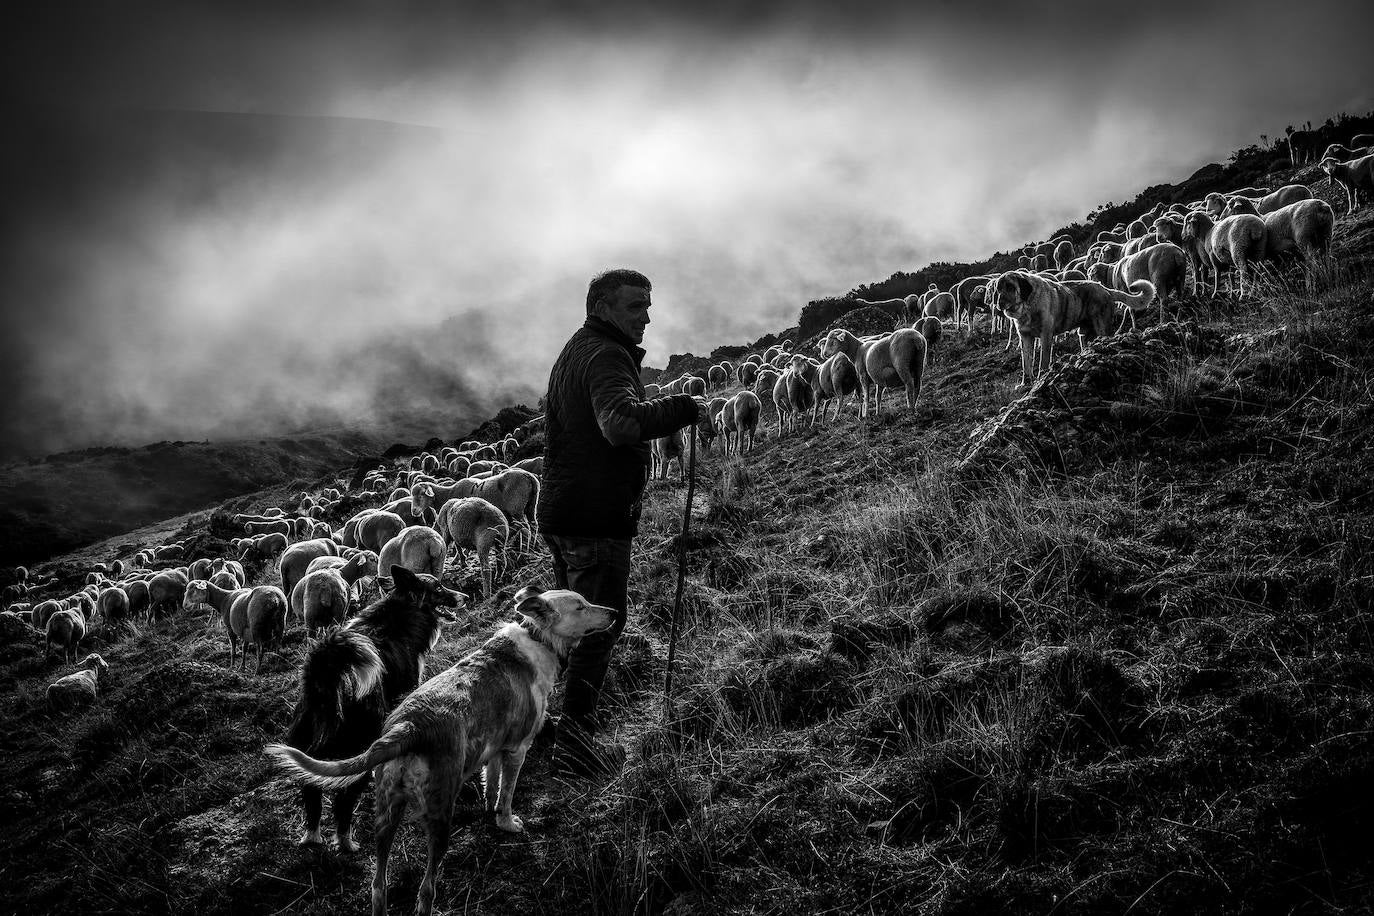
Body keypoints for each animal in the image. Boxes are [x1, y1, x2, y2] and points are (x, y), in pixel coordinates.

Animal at [267, 587, 612, 916]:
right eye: (581, 605)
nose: (613, 612)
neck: (538, 636)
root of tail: (410, 726)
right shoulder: (517, 749)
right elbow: (507, 794)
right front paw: (507, 823)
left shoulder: (494, 749)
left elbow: (492, 784)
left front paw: (488, 809)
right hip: (441, 813)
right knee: (426, 890)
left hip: (385, 815)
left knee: (379, 886)